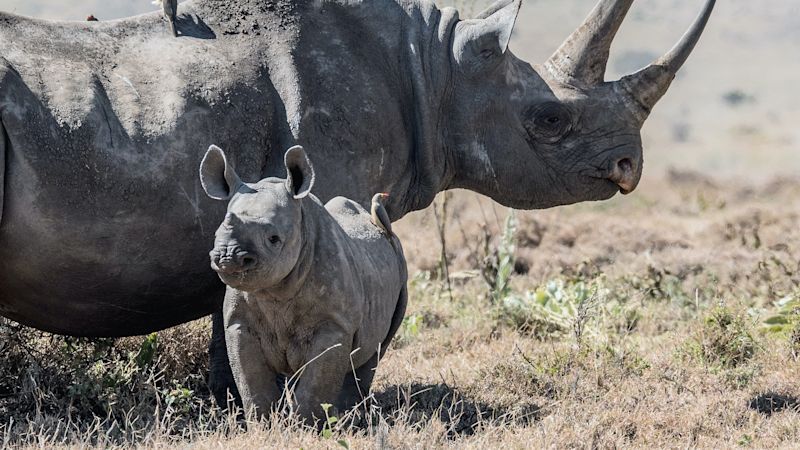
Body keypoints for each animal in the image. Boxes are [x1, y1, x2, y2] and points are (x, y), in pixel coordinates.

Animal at [201, 144, 407, 420]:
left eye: (274, 239)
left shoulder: (334, 325)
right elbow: (252, 382)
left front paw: (306, 425)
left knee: (373, 352)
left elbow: (315, 386)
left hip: (400, 270)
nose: (228, 257)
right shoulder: (239, 323)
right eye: (216, 234)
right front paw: (263, 423)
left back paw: (349, 418)